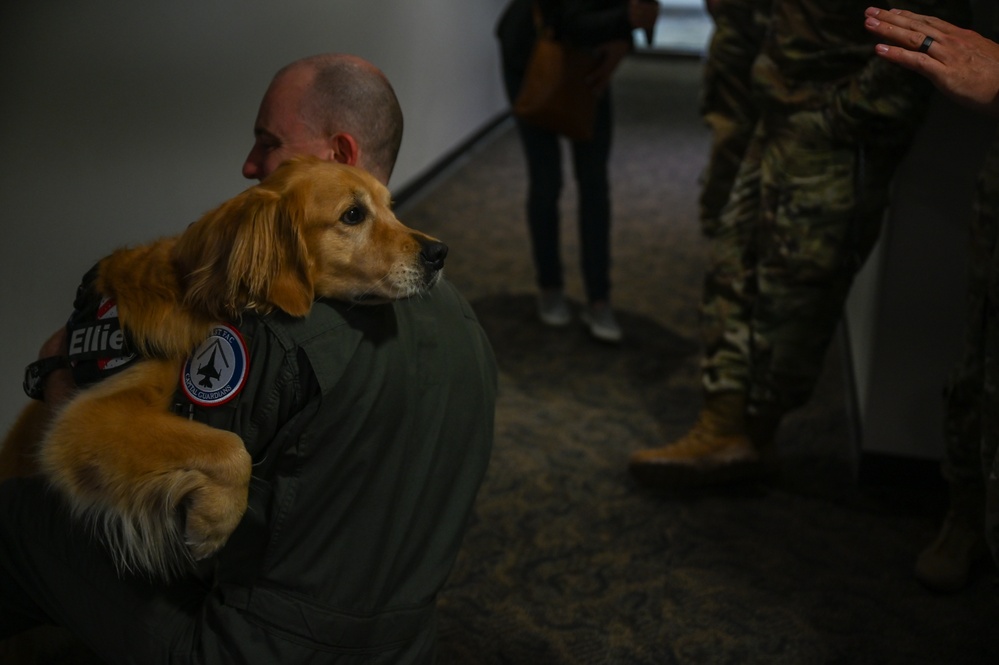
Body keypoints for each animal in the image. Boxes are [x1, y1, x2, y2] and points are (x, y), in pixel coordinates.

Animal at [0, 156, 446, 580]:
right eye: (353, 215)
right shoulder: (85, 419)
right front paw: (214, 521)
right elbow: (231, 447)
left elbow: (230, 446)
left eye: (390, 208)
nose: (440, 253)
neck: (194, 292)